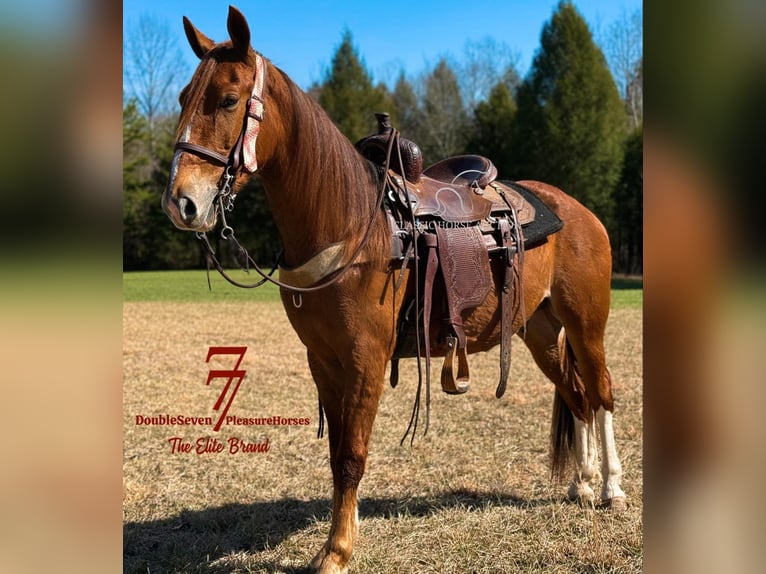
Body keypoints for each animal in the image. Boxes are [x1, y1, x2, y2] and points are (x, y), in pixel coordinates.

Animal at [164, 5, 632, 574]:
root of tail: (579, 211)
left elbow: (351, 455)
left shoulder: (365, 357)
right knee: (576, 395)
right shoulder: (323, 360)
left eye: (229, 99)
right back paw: (581, 485)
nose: (181, 202)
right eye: (183, 97)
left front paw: (337, 551)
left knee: (601, 393)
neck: (349, 223)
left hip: (587, 325)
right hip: (538, 331)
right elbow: (337, 451)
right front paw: (343, 531)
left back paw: (611, 489)